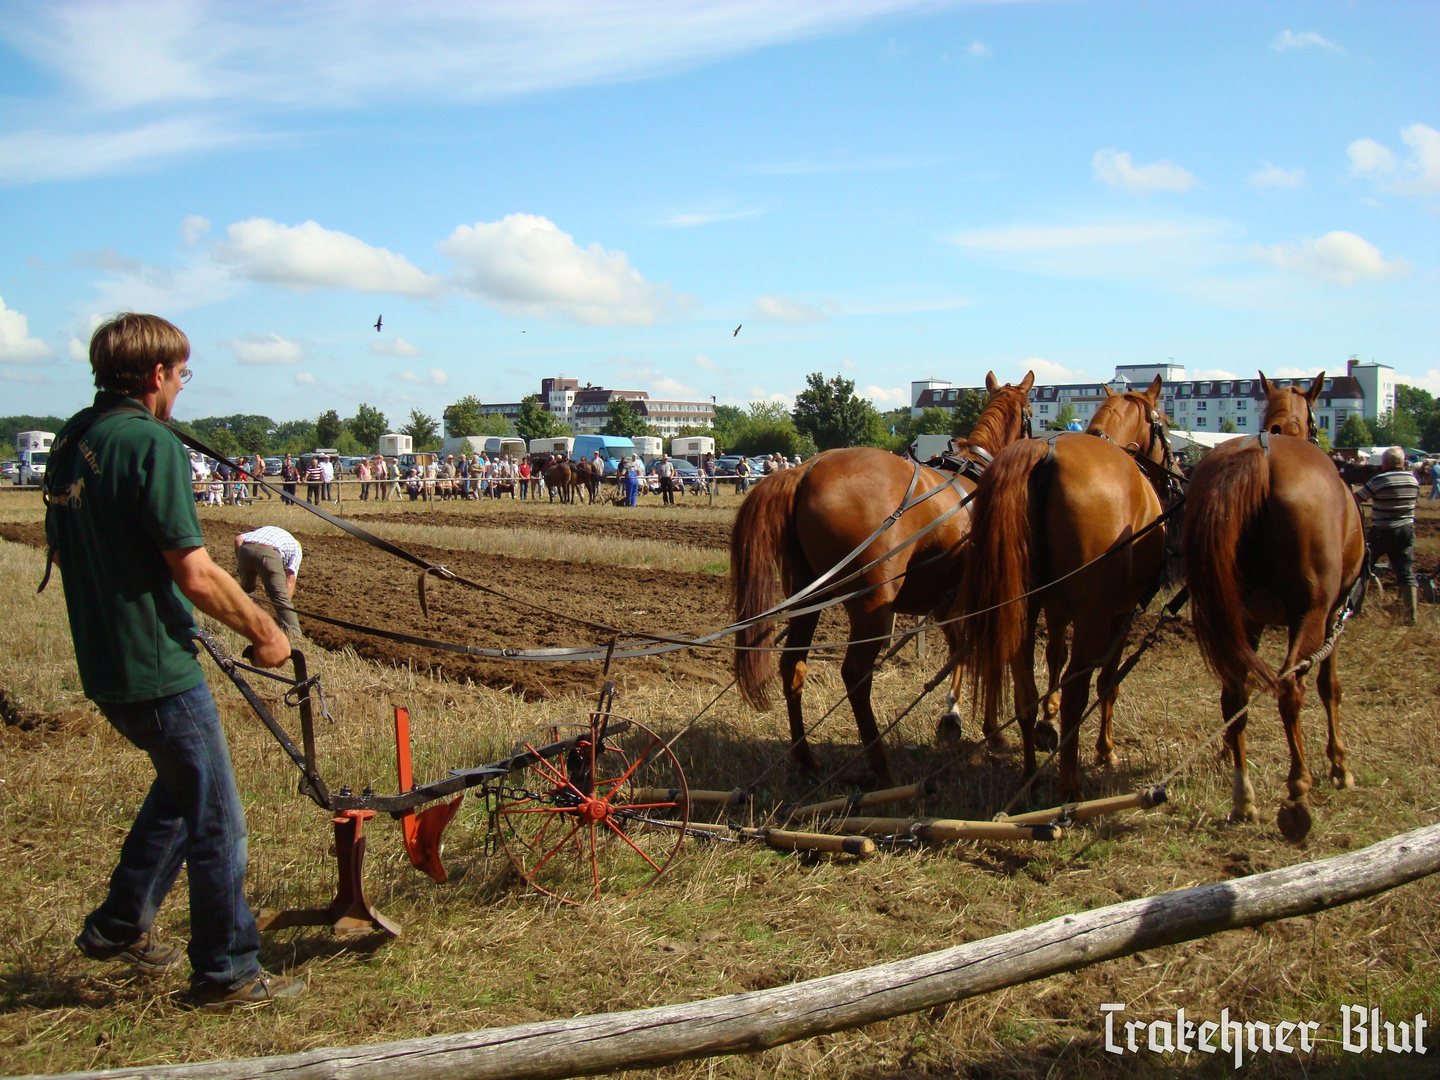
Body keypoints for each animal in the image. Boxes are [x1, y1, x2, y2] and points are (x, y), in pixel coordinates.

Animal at [731, 371, 1036, 789]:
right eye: (1032, 412)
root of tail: (803, 471)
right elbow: (983, 650)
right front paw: (988, 728)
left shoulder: (946, 603)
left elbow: (962, 648)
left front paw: (955, 718)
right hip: (873, 605)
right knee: (856, 675)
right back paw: (880, 765)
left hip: (809, 596)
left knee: (793, 666)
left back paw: (806, 758)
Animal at [956, 377, 1169, 800]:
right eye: (1164, 424)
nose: (1174, 466)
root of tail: (1043, 455)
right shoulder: (1119, 612)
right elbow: (1106, 682)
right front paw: (1105, 749)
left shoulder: (1053, 606)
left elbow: (1054, 653)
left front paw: (1047, 716)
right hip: (1092, 615)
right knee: (1079, 689)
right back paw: (1069, 783)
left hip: (1021, 606)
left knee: (1023, 690)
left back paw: (1028, 774)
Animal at [1180, 377, 1359, 840]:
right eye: (1317, 418)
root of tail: (1259, 456)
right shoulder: (1334, 615)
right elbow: (1329, 686)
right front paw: (1339, 763)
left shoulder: (1252, 621)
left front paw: (1227, 751)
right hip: (1311, 614)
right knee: (1290, 688)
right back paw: (1298, 788)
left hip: (1235, 614)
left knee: (1234, 694)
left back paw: (1243, 798)